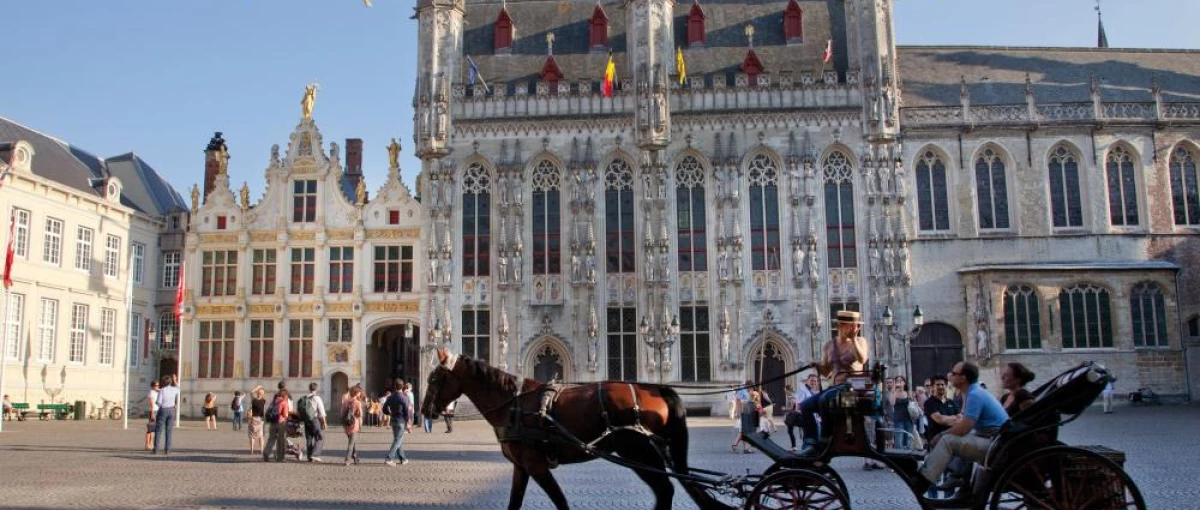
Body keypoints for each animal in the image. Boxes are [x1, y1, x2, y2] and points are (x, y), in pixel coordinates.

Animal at [422, 345, 720, 508]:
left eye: (435, 378)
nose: (425, 411)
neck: (513, 403)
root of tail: (658, 387)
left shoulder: (536, 465)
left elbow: (561, 502)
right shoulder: (521, 467)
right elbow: (514, 503)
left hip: (639, 453)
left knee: (666, 490)